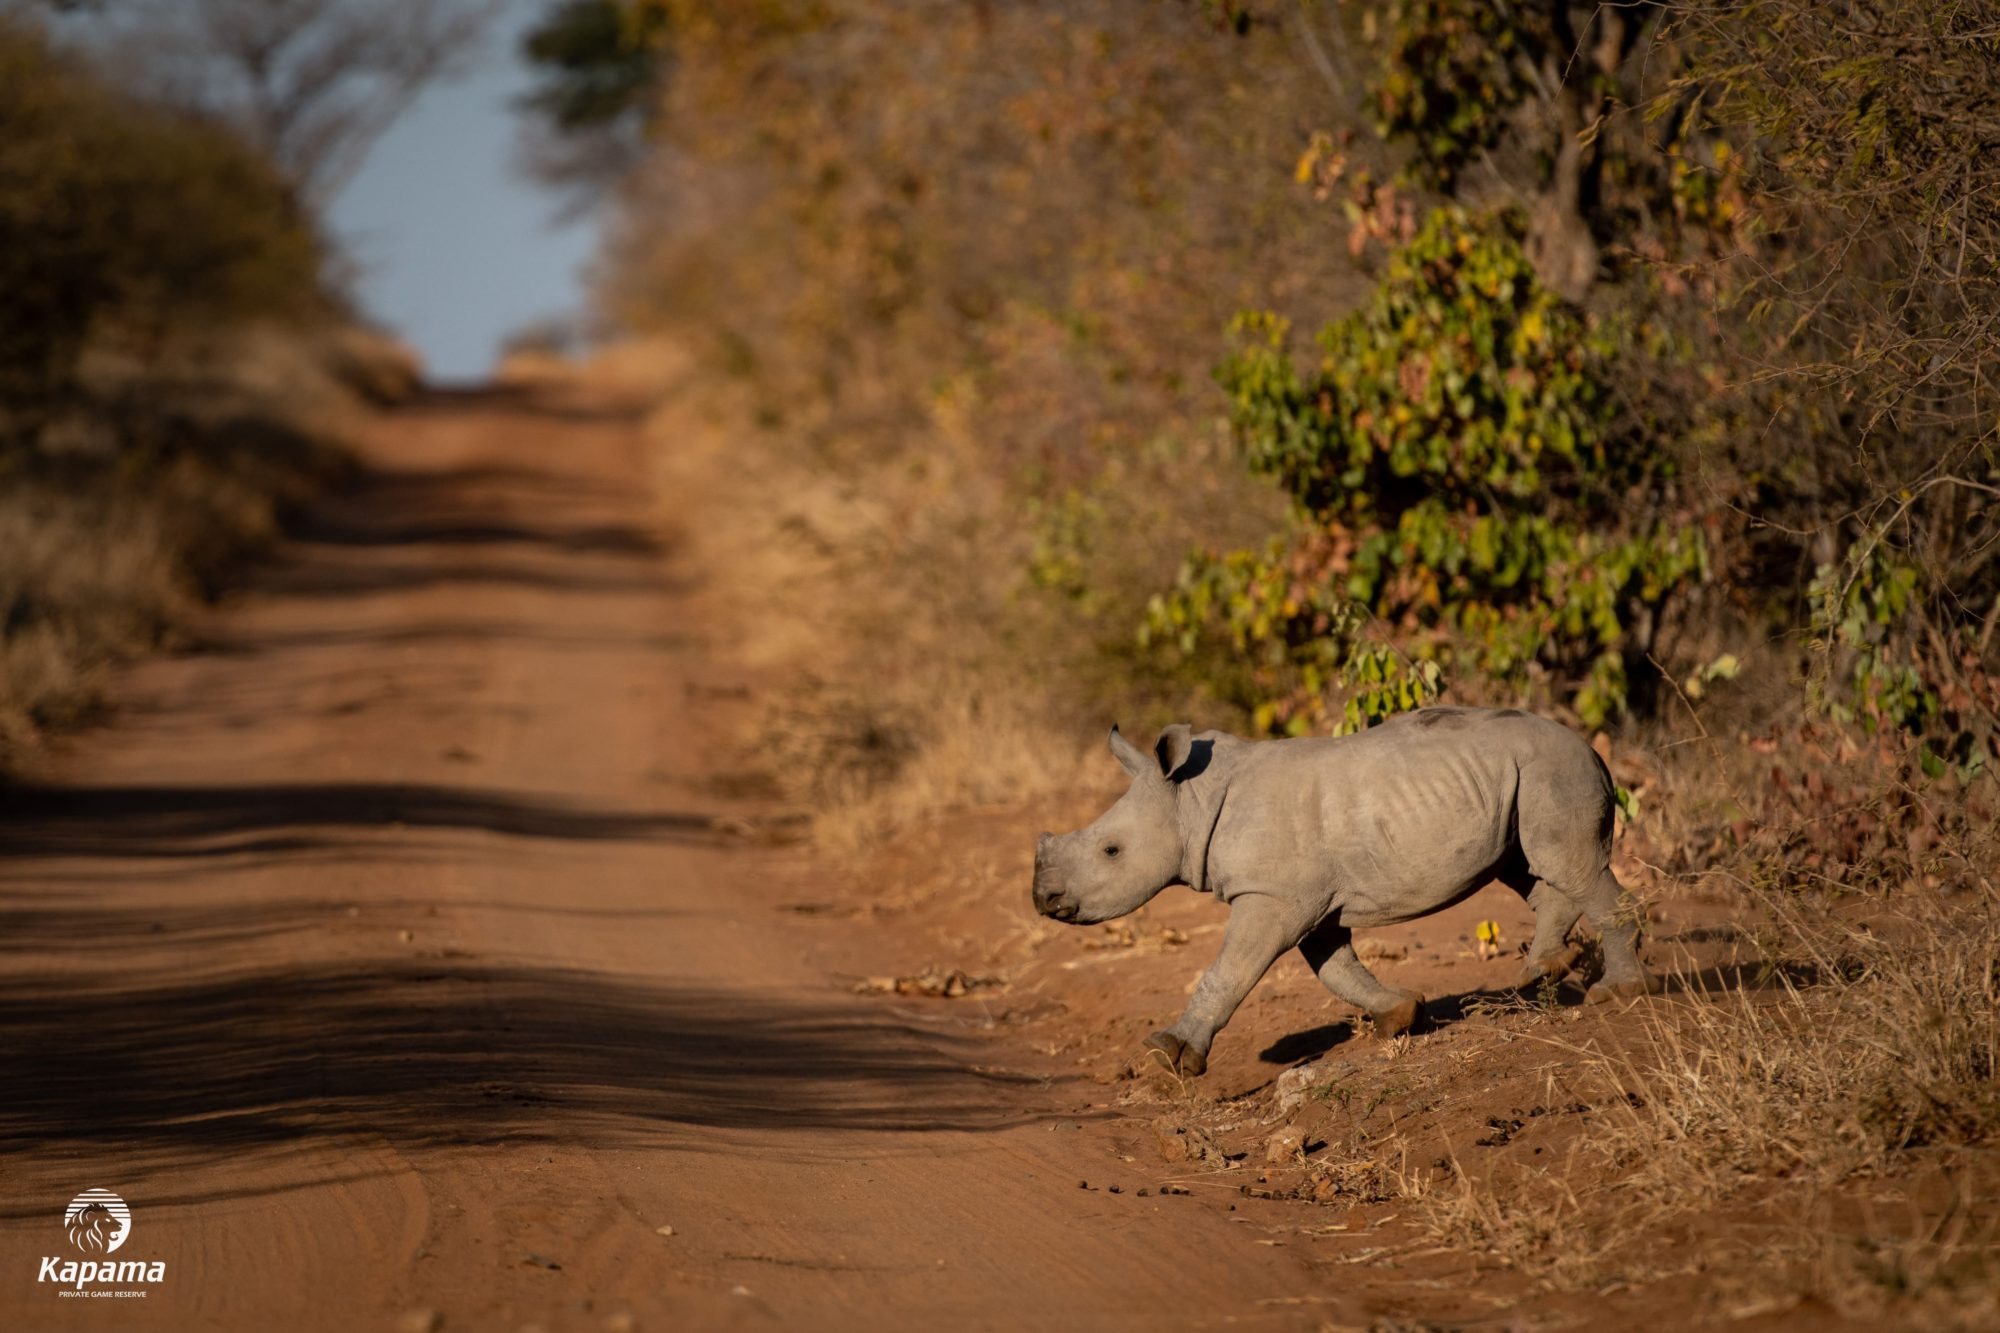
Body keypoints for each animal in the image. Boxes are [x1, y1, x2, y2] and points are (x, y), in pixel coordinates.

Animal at [1030, 706, 1653, 1076]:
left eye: (1111, 851)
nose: (1044, 901)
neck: (1191, 799)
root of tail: (1595, 750)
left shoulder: (1272, 898)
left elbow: (1229, 970)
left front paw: (1170, 1056)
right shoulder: (1306, 902)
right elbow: (1337, 969)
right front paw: (1400, 1015)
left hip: (1554, 771)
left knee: (1569, 866)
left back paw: (1618, 994)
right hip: (1527, 777)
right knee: (1534, 868)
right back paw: (1539, 976)